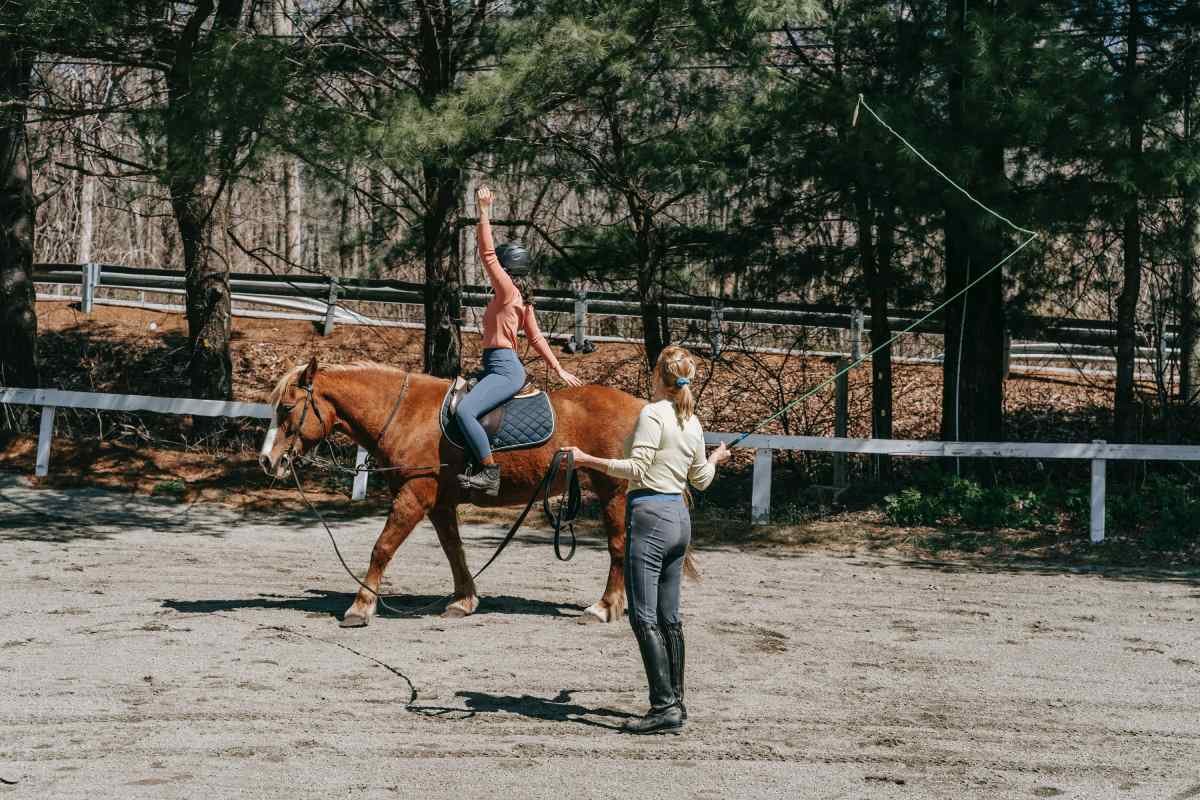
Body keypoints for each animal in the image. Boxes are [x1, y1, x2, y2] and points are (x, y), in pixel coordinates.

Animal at [258, 359, 643, 628]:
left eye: (287, 408)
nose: (267, 460)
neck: (407, 414)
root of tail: (640, 407)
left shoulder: (415, 496)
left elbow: (382, 548)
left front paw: (360, 607)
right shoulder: (439, 504)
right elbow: (453, 551)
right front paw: (464, 601)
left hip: (613, 490)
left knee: (618, 547)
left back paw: (604, 607)